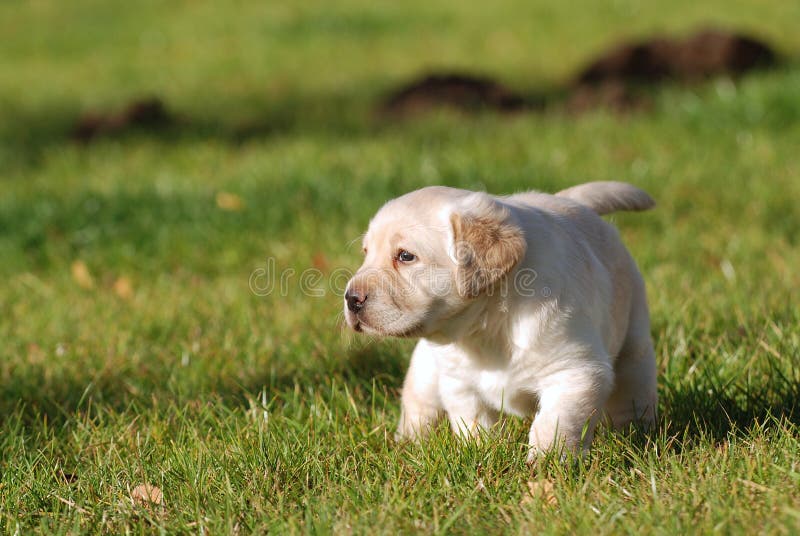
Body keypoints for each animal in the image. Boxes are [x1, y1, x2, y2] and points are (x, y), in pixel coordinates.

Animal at [344, 182, 656, 458]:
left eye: (406, 256)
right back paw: (408, 444)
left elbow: (553, 425)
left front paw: (545, 468)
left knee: (633, 391)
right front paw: (482, 453)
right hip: (425, 372)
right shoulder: (459, 382)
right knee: (419, 404)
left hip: (634, 341)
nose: (350, 298)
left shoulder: (574, 372)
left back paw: (638, 434)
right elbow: (473, 423)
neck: (487, 325)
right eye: (366, 253)